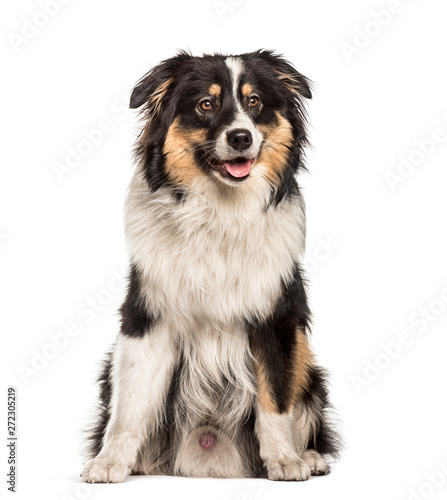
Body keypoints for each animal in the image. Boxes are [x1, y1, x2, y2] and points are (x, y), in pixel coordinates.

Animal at [81, 49, 340, 480]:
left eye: (254, 102)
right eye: (206, 104)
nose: (241, 137)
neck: (219, 213)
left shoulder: (275, 318)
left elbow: (274, 398)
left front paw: (285, 459)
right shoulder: (147, 317)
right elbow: (129, 405)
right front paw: (110, 462)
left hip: (309, 365)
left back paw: (310, 456)